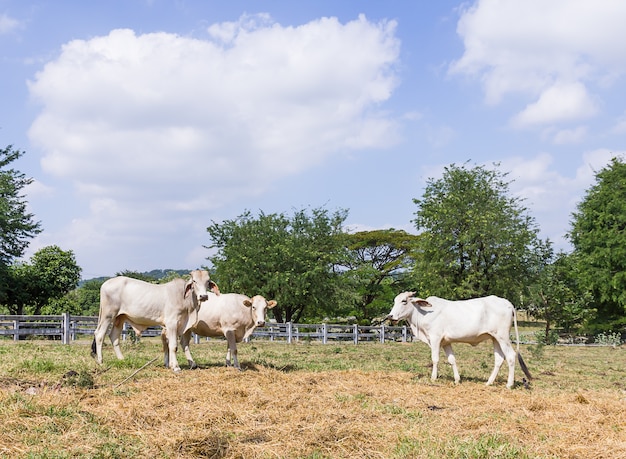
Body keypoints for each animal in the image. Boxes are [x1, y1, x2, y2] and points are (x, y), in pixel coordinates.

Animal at [388, 292, 528, 388]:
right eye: (395, 301)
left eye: (404, 301)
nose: (390, 316)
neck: (423, 313)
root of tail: (507, 303)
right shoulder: (446, 342)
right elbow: (452, 360)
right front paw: (457, 379)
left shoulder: (435, 338)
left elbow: (435, 359)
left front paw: (433, 378)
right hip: (495, 338)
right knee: (499, 359)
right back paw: (489, 382)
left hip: (503, 337)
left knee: (510, 356)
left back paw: (509, 384)